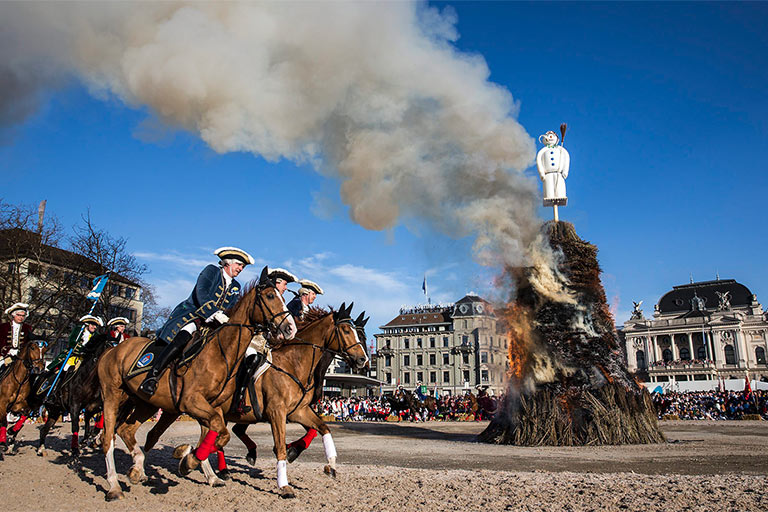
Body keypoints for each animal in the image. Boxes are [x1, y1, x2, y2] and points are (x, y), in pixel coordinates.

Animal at [97, 268, 296, 500]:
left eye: (284, 297)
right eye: (271, 296)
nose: (290, 328)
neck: (221, 352)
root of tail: (113, 349)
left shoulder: (212, 407)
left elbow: (218, 437)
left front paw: (191, 460)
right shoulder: (192, 402)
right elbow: (219, 435)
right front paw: (189, 458)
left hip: (145, 402)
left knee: (127, 430)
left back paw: (138, 468)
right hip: (112, 396)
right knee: (108, 439)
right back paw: (114, 485)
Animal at [147, 302, 368, 498]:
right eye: (346, 331)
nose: (363, 360)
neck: (293, 363)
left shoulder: (299, 410)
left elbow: (323, 428)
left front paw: (330, 464)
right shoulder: (277, 413)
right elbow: (280, 446)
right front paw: (284, 482)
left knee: (214, 437)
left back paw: (204, 466)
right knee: (215, 437)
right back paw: (196, 459)